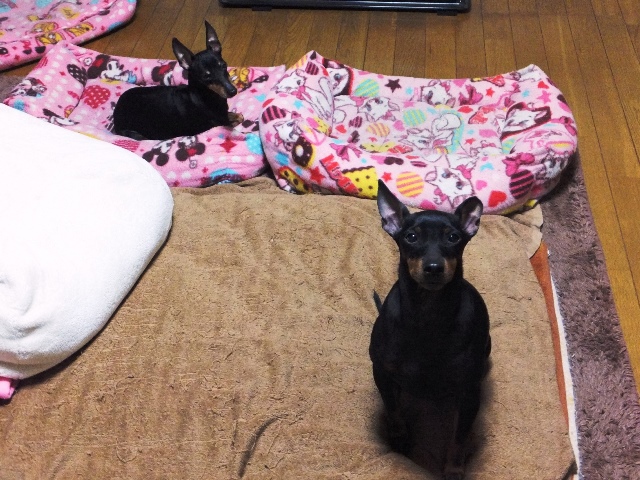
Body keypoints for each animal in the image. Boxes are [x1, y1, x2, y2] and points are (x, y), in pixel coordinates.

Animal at [112, 21, 243, 141]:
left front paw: (235, 114)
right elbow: (233, 121)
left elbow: (236, 115)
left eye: (224, 66)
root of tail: (115, 116)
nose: (233, 91)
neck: (208, 95)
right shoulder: (219, 123)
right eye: (206, 77)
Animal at [369, 180, 491, 480]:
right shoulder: (382, 372)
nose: (434, 268)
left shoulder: (469, 393)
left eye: (453, 237)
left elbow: (459, 437)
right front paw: (399, 438)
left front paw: (454, 470)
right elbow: (393, 409)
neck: (427, 312)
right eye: (411, 236)